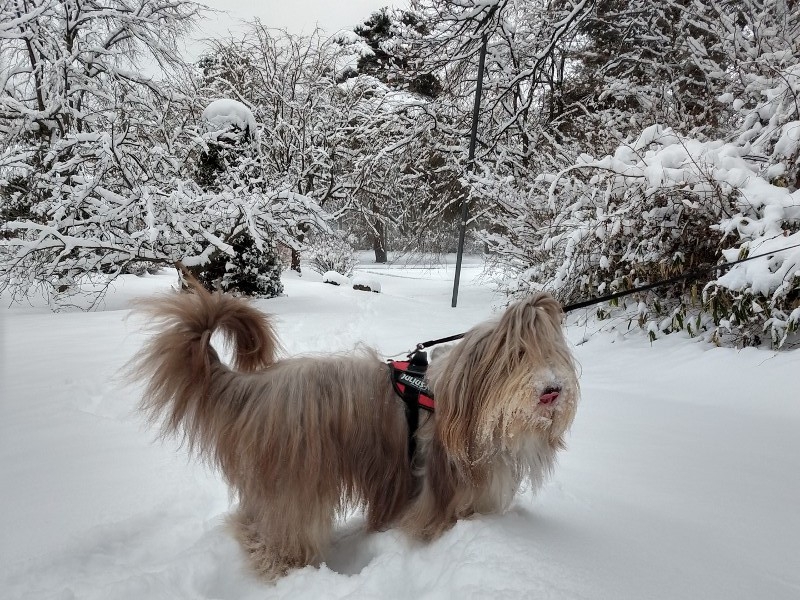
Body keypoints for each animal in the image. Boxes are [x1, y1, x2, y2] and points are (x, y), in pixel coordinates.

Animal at [131, 286, 580, 580]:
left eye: (554, 354)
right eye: (517, 356)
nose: (552, 389)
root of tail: (253, 388)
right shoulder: (440, 487)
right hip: (296, 485)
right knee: (282, 531)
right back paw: (288, 569)